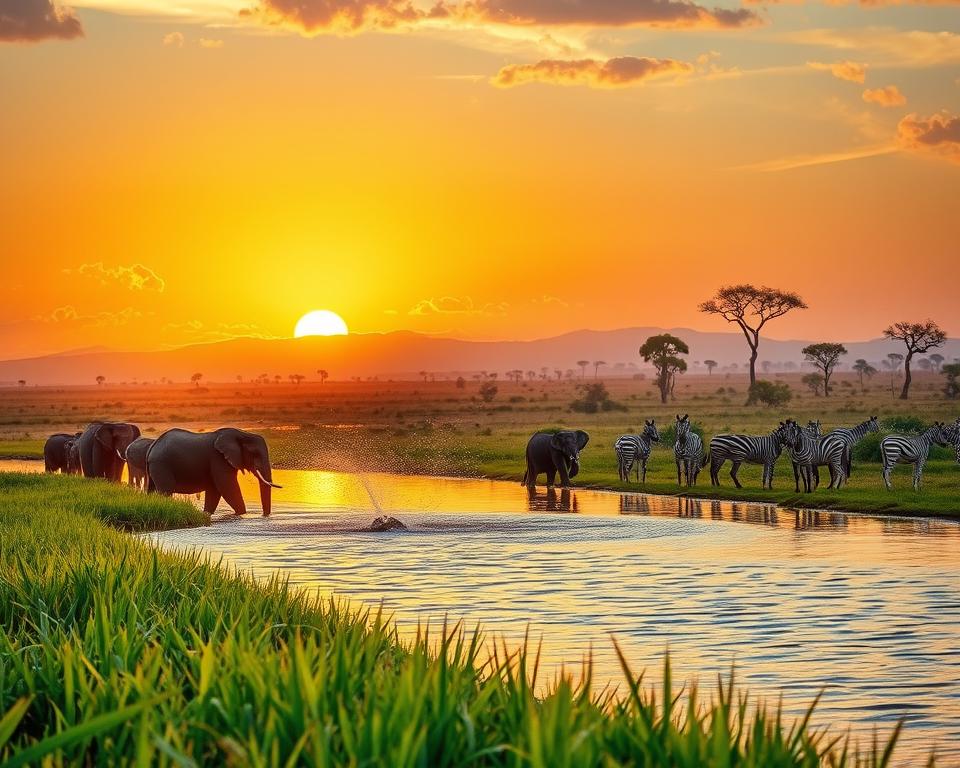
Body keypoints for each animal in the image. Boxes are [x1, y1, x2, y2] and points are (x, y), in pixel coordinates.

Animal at [146, 427, 281, 516]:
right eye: (255, 454)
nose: (264, 515)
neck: (242, 434)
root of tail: (153, 445)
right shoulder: (218, 459)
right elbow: (227, 487)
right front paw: (242, 514)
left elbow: (214, 490)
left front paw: (206, 514)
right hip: (161, 464)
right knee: (166, 491)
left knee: (151, 490)